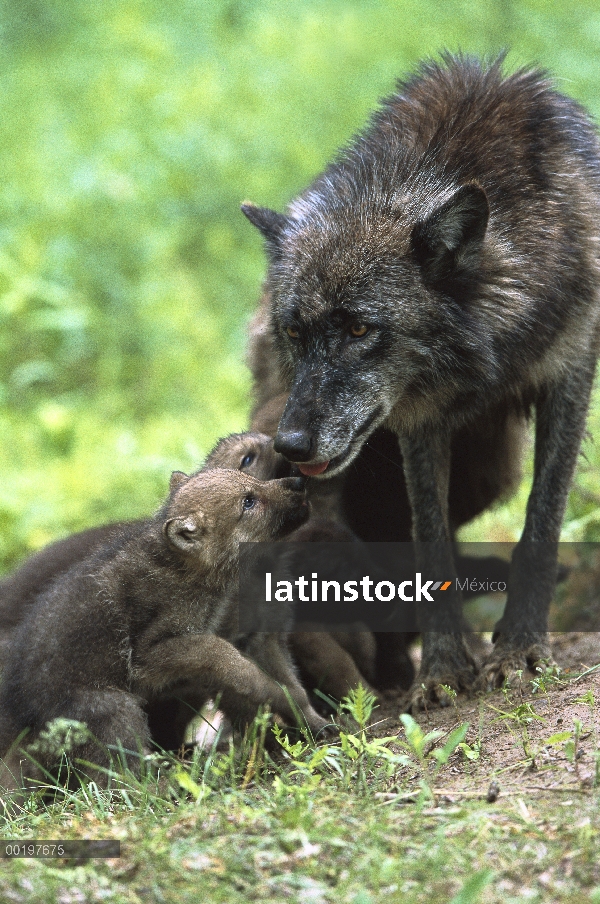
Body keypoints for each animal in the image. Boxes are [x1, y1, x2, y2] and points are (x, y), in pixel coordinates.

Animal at [0, 462, 328, 788]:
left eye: (251, 480)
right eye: (248, 501)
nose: (298, 482)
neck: (186, 571)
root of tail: (21, 722)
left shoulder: (259, 639)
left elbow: (292, 688)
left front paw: (313, 723)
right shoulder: (153, 651)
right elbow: (222, 655)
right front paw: (259, 687)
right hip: (114, 710)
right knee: (116, 778)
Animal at [243, 54, 600, 712]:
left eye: (359, 328)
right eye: (296, 331)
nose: (293, 445)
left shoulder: (569, 377)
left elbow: (541, 520)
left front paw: (518, 650)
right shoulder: (419, 420)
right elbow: (428, 539)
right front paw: (441, 671)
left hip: (490, 471)